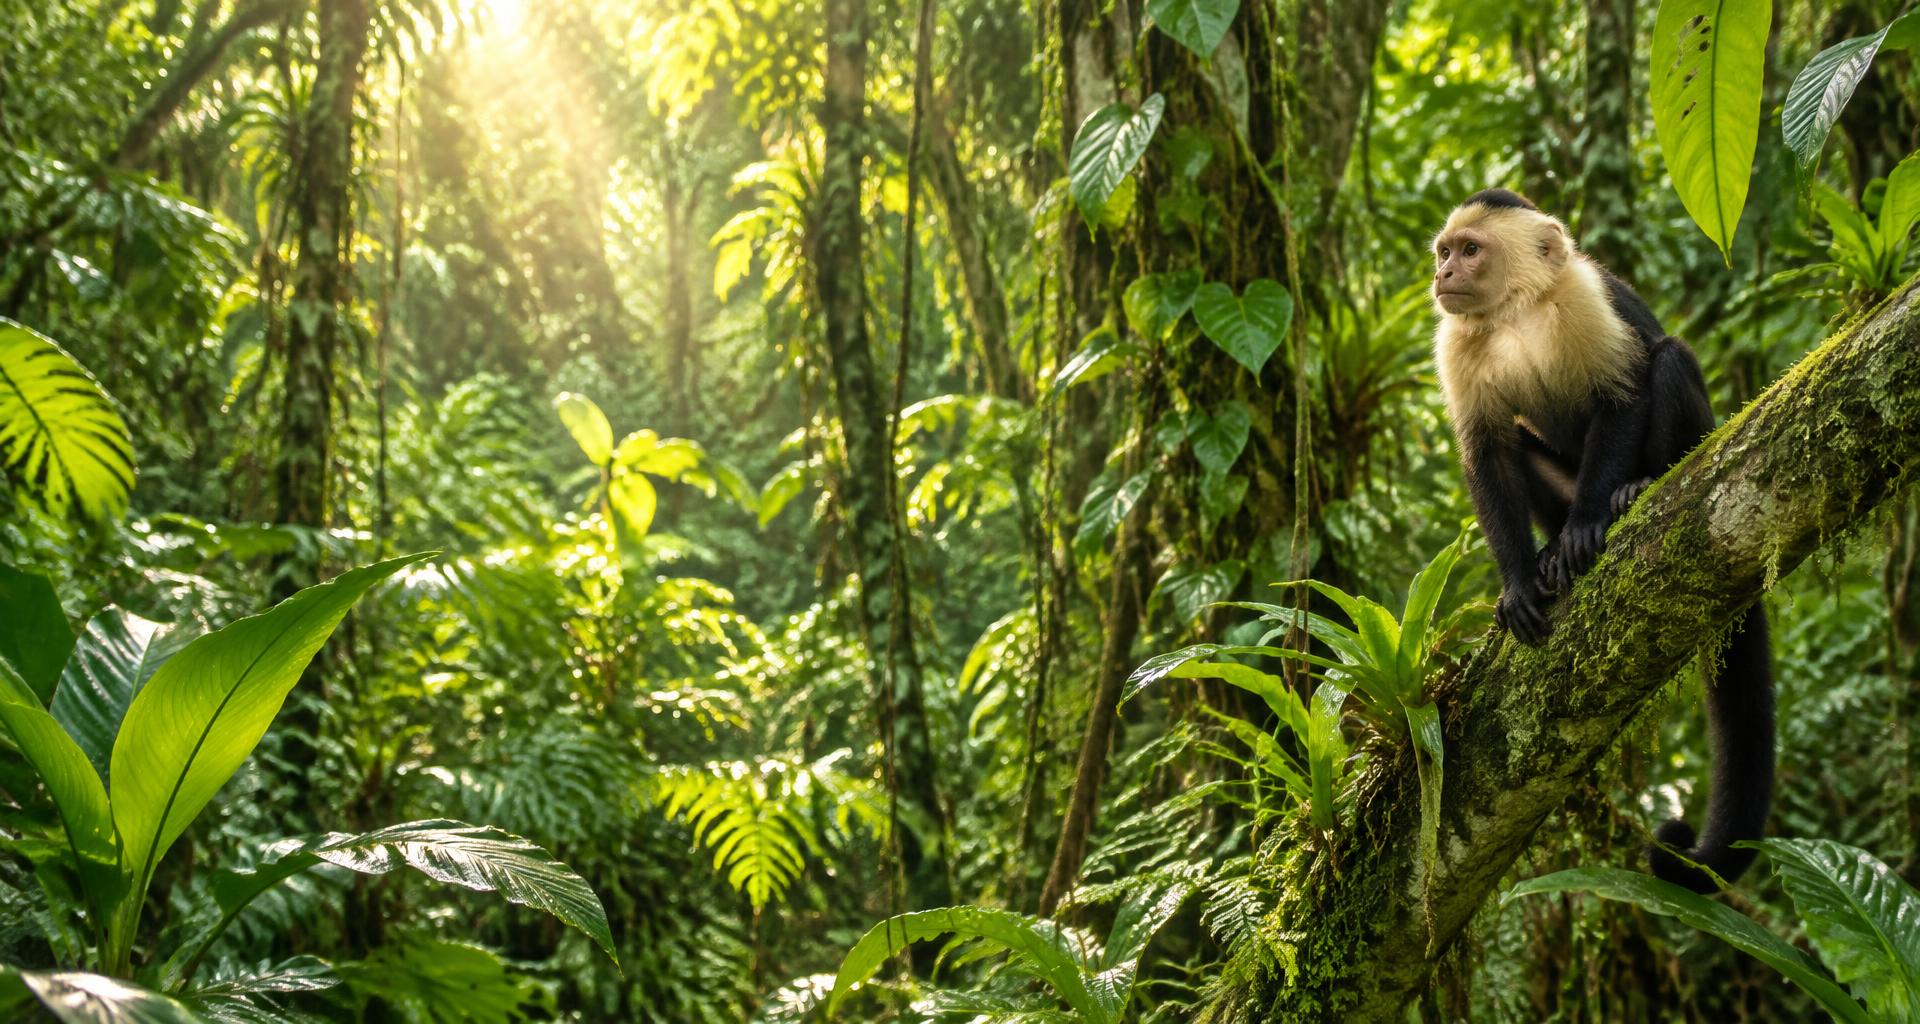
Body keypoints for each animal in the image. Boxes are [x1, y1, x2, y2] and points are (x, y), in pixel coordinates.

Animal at [1429, 188, 1774, 892]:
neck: (1512, 312)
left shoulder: (1583, 296)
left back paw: (1635, 488)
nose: (1442, 273)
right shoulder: (1456, 337)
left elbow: (1623, 393)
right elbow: (1489, 453)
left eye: (1471, 250)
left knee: (1668, 359)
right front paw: (1518, 582)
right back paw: (1550, 545)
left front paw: (1590, 522)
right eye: (1446, 251)